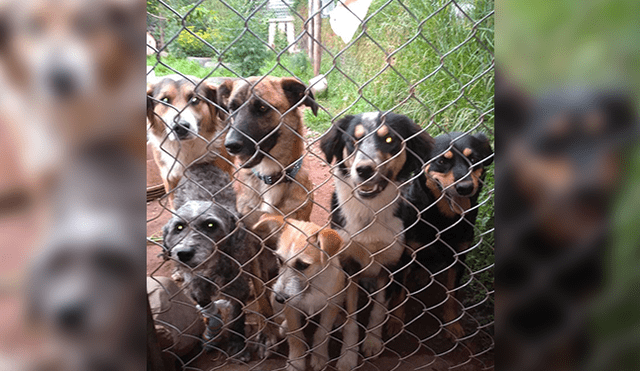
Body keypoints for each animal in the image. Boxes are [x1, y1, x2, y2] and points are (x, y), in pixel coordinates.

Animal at [161, 163, 276, 360]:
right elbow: (203, 299)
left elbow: (237, 316)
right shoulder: (196, 284)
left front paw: (237, 344)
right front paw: (213, 327)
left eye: (210, 225)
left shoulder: (237, 286)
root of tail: (200, 165)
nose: (184, 254)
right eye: (179, 227)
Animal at [252, 217, 348, 371]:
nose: (280, 298)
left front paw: (319, 357)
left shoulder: (330, 306)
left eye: (303, 265)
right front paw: (296, 361)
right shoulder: (290, 308)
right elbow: (295, 336)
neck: (311, 287)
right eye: (280, 260)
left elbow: (322, 334)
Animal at [402, 131, 492, 340]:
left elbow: (451, 295)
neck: (443, 219)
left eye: (473, 159)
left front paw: (452, 325)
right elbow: (398, 295)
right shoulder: (407, 254)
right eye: (442, 161)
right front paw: (395, 323)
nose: (465, 187)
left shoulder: (458, 258)